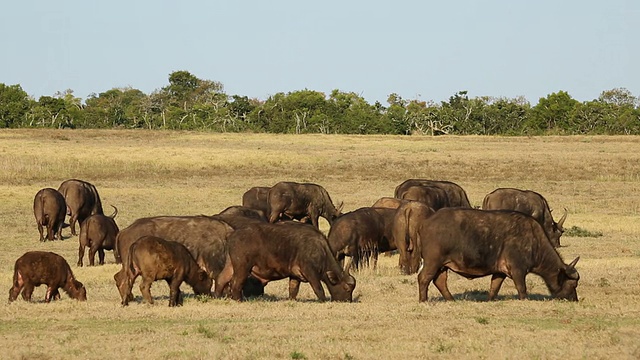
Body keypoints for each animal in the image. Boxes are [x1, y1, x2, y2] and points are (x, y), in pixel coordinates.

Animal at [218, 222, 358, 300]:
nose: (347, 301)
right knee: (235, 283)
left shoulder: (295, 275)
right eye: (347, 288)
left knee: (221, 279)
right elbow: (319, 289)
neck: (320, 249)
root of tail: (233, 235)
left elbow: (293, 290)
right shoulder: (310, 272)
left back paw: (217, 296)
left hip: (230, 265)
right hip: (243, 267)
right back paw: (238, 300)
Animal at [416, 207, 580, 302]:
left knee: (439, 281)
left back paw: (451, 300)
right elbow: (522, 288)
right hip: (433, 262)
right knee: (424, 278)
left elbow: (494, 287)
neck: (534, 240)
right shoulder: (518, 270)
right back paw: (423, 300)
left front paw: (490, 300)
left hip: (443, 265)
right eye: (573, 284)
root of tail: (426, 222)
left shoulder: (500, 272)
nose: (574, 299)